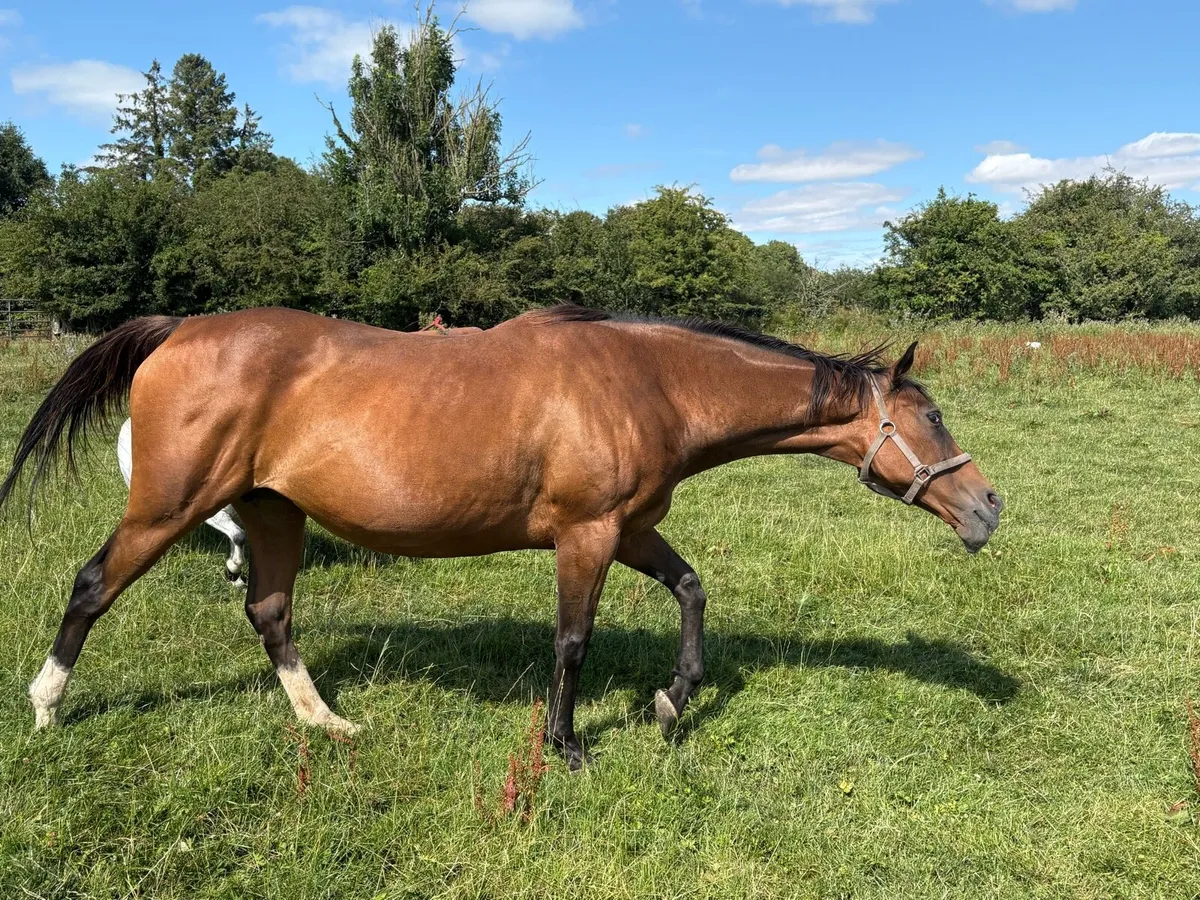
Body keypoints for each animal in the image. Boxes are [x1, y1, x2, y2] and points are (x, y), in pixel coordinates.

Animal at [0, 305, 1002, 769]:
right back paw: (47, 705)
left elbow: (691, 591)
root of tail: (177, 329)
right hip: (167, 510)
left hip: (273, 512)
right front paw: (568, 746)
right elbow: (572, 641)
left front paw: (672, 701)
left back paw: (327, 723)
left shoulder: (631, 531)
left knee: (272, 613)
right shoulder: (588, 537)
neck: (648, 381)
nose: (988, 508)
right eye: (933, 415)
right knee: (92, 585)